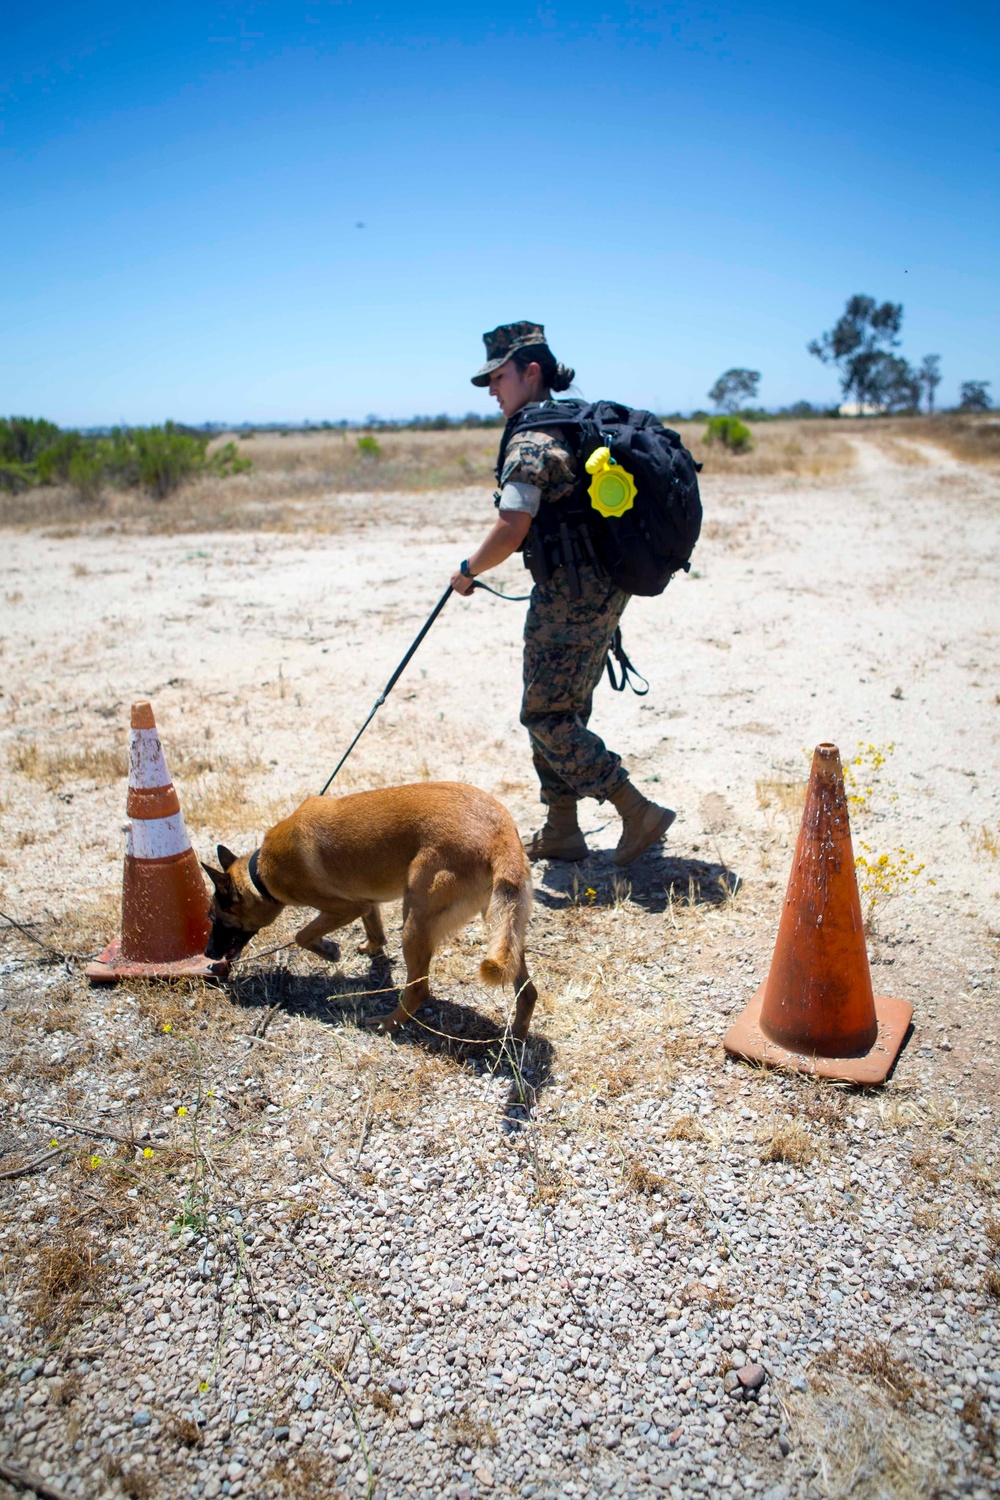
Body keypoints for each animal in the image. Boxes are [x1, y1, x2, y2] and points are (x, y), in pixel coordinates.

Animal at [197, 780, 536, 1038]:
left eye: (215, 918)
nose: (209, 955)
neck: (260, 873)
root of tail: (500, 836)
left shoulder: (346, 907)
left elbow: (301, 935)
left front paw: (329, 951)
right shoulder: (367, 903)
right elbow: (374, 929)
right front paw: (370, 948)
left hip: (414, 924)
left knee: (419, 990)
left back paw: (389, 1023)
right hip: (502, 925)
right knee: (527, 990)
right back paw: (517, 1035)